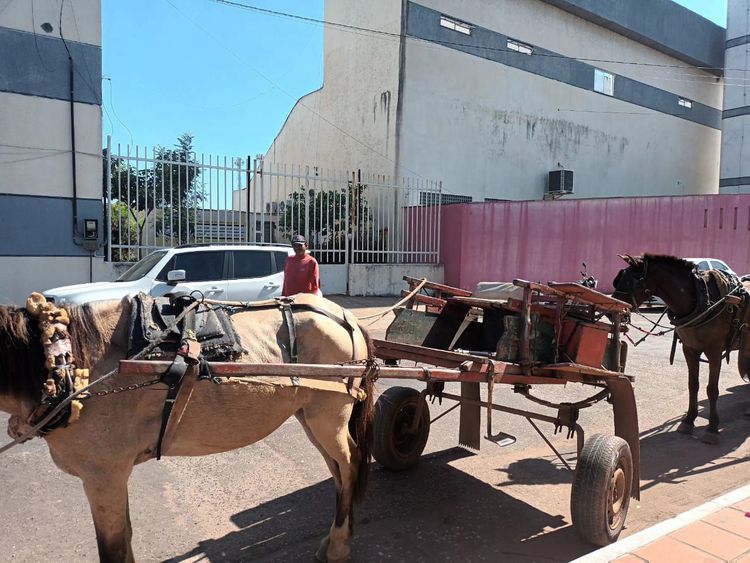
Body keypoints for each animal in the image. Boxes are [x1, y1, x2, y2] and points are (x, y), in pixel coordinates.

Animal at [0, 296, 376, 563]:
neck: (71, 363)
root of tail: (344, 317)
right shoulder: (112, 477)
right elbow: (126, 536)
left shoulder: (103, 476)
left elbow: (114, 548)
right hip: (310, 416)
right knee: (338, 471)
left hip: (328, 416)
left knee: (351, 463)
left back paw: (338, 545)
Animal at [612, 256, 748, 446]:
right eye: (618, 279)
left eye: (628, 281)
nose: (611, 312)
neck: (702, 299)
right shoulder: (689, 349)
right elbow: (693, 385)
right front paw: (688, 420)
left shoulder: (714, 351)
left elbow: (712, 389)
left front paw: (712, 428)